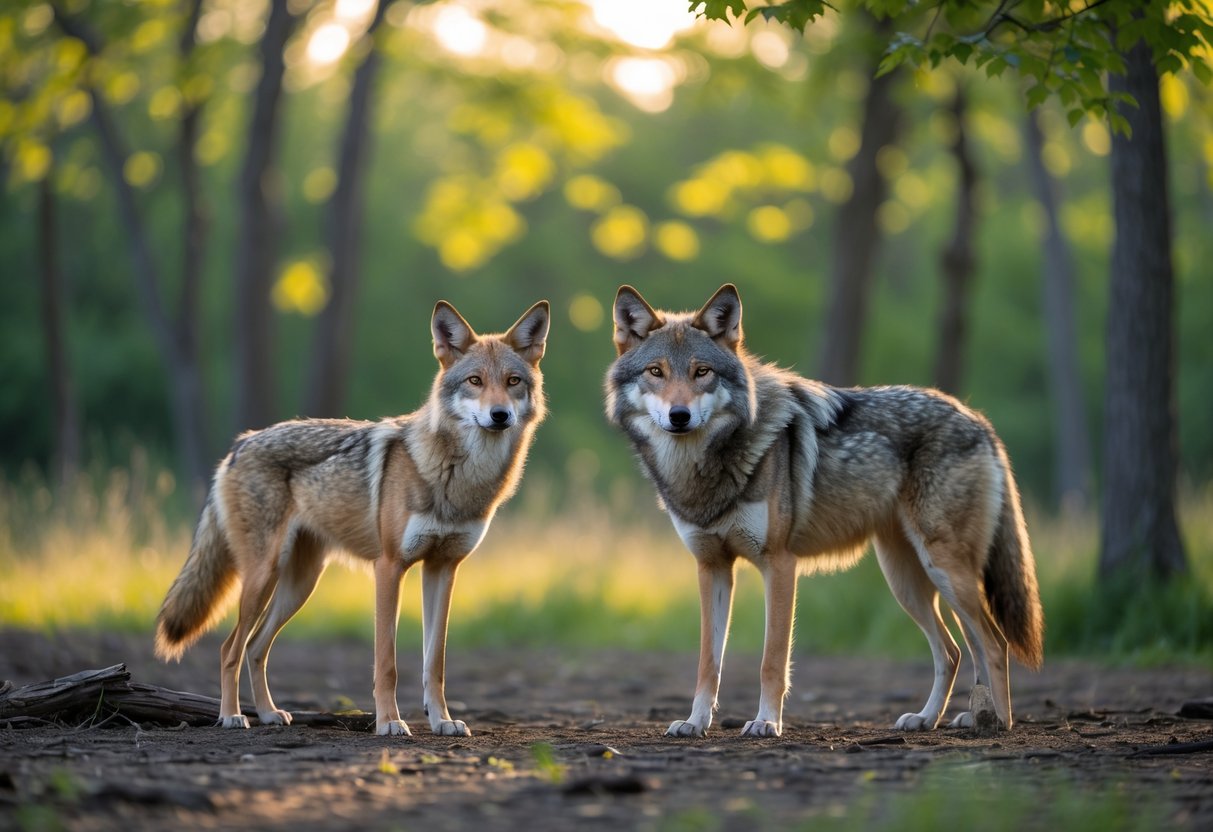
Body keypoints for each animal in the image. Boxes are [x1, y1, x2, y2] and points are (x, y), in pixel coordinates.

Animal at [155, 299, 549, 737]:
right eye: (475, 381)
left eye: (513, 381)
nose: (500, 415)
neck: (458, 477)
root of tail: (241, 443)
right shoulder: (389, 567)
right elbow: (387, 663)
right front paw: (390, 722)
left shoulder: (443, 569)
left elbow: (435, 664)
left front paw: (443, 720)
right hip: (263, 577)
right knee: (230, 648)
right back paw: (231, 716)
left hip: (299, 586)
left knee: (256, 648)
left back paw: (270, 714)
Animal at [605, 284, 1043, 738]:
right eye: (656, 372)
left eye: (701, 372)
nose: (680, 416)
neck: (702, 469)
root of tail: (976, 418)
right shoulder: (712, 568)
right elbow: (708, 662)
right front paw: (694, 722)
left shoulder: (779, 564)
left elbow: (772, 660)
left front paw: (766, 722)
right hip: (908, 581)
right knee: (956, 650)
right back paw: (939, 717)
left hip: (943, 571)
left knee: (993, 642)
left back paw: (997, 722)